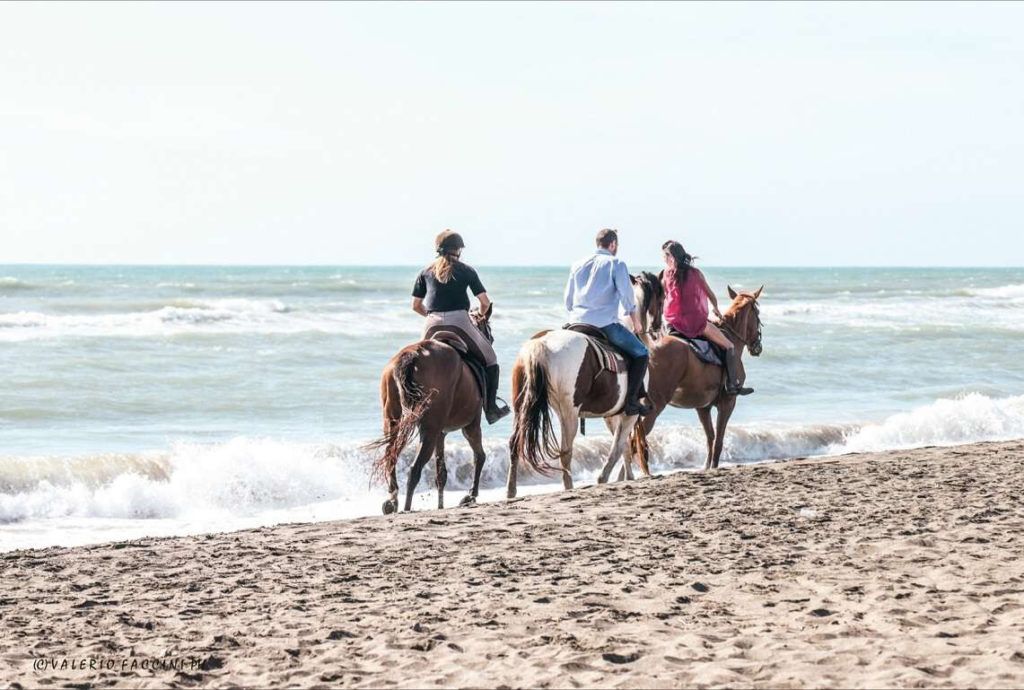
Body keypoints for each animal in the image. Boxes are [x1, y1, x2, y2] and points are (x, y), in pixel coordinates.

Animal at [367, 304, 495, 514]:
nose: (489, 340)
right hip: (429, 429)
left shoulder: (441, 433)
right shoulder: (470, 425)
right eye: (488, 330)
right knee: (415, 468)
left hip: (393, 421)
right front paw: (471, 495)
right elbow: (479, 456)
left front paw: (441, 505)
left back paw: (393, 500)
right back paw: (407, 507)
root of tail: (412, 355)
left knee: (391, 455)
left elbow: (441, 473)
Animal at [630, 286, 763, 472]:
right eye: (757, 313)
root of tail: (648, 348)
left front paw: (707, 467)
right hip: (655, 406)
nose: (757, 347)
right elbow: (718, 440)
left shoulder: (703, 407)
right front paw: (713, 467)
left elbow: (710, 438)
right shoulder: (728, 403)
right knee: (635, 443)